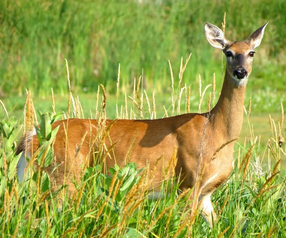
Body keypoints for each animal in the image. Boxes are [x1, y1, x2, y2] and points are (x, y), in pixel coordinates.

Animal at [16, 22, 266, 227]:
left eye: (251, 52)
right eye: (228, 52)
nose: (240, 71)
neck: (215, 131)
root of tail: (34, 135)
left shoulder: (206, 193)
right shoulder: (189, 182)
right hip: (63, 174)